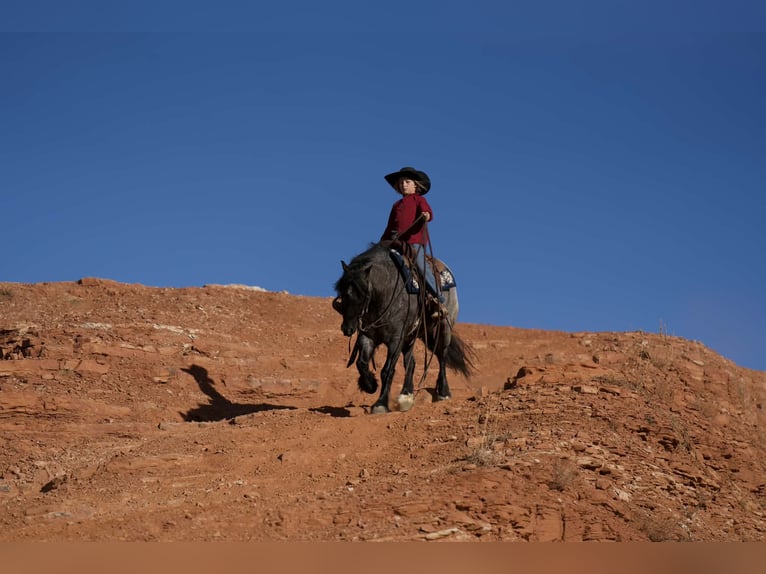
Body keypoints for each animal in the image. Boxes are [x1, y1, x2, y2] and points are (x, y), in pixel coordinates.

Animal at [333, 242, 473, 414]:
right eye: (342, 292)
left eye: (364, 294)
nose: (348, 328)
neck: (386, 291)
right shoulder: (368, 336)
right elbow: (362, 363)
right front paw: (370, 385)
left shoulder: (396, 339)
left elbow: (387, 370)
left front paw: (380, 404)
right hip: (413, 336)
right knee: (411, 363)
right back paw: (406, 396)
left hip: (443, 328)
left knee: (442, 356)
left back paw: (443, 393)